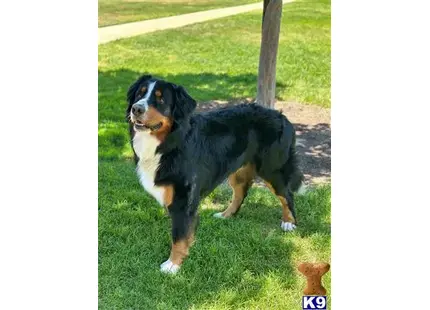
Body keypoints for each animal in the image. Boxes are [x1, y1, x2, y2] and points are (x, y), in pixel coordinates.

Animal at [125, 74, 306, 274]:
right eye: (139, 94)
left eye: (160, 99)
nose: (136, 109)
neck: (170, 143)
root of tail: (282, 117)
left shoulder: (184, 199)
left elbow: (179, 235)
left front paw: (173, 264)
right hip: (238, 170)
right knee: (241, 193)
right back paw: (226, 215)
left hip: (272, 169)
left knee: (286, 195)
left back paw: (289, 222)